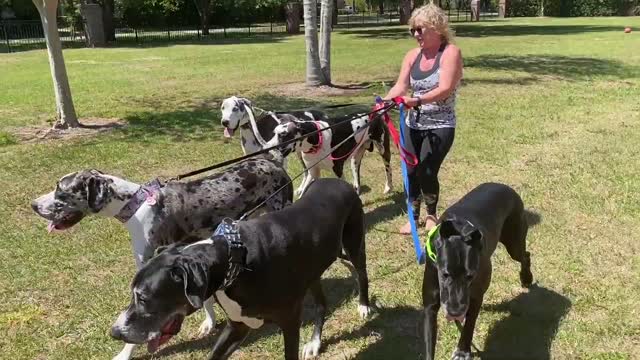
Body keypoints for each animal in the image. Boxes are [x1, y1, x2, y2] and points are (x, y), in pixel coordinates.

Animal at [28, 155, 292, 360]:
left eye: (61, 190)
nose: (33, 205)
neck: (136, 206)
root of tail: (273, 160)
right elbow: (204, 298)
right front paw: (208, 323)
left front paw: (125, 352)